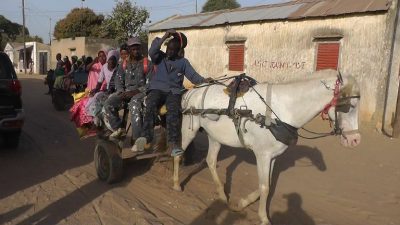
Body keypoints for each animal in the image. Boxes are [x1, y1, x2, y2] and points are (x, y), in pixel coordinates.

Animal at [173, 69, 362, 224]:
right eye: (348, 106)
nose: (355, 140)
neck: (282, 110)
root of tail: (192, 90)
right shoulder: (262, 155)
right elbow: (265, 187)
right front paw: (263, 217)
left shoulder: (272, 156)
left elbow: (267, 184)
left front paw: (241, 203)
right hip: (190, 127)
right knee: (178, 154)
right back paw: (176, 184)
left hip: (215, 136)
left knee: (211, 161)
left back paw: (222, 195)